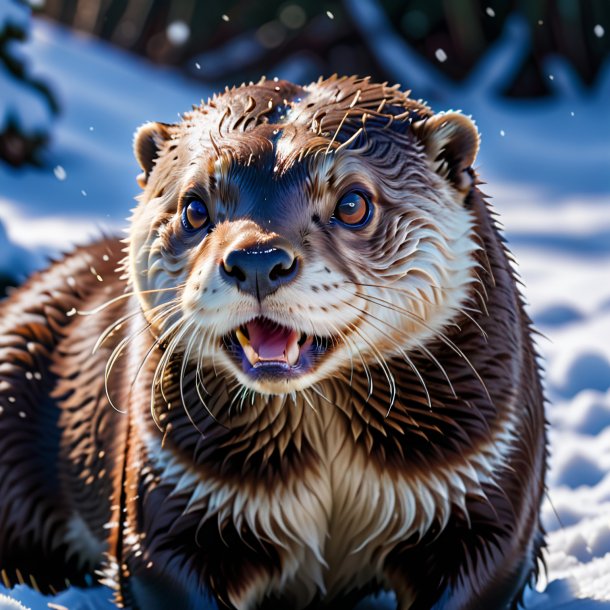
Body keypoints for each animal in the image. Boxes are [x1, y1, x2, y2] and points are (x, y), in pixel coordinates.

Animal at [0, 77, 540, 608]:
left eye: (353, 203)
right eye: (194, 207)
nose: (257, 259)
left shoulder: (482, 479)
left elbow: (489, 560)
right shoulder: (173, 485)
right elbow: (159, 562)